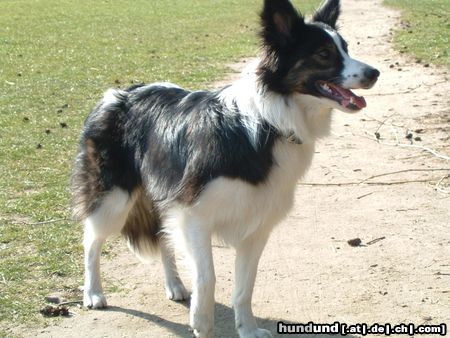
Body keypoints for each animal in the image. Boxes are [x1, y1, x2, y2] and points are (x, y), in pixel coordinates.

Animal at [72, 0, 378, 338]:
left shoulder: (255, 226)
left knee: (162, 237)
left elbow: (245, 287)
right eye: (323, 54)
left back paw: (174, 284)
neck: (270, 123)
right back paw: (93, 293)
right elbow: (208, 278)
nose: (375, 73)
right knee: (91, 240)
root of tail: (118, 94)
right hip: (114, 198)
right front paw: (201, 325)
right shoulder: (194, 215)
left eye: (346, 48)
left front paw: (247, 329)